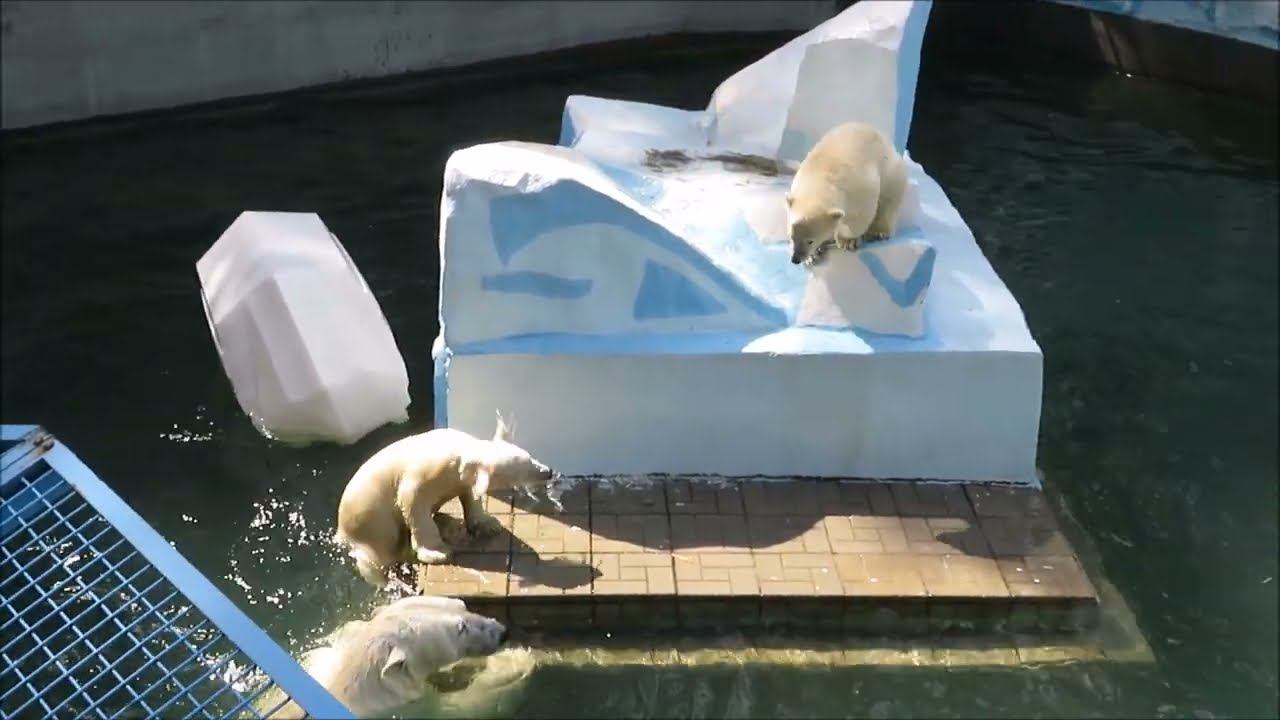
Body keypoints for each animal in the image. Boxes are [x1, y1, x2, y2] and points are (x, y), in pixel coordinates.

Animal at [335, 413, 554, 587]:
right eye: (520, 471)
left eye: (529, 457)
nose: (548, 472)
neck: (459, 454)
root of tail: (340, 530)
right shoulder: (425, 471)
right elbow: (412, 500)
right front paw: (438, 552)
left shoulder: (458, 478)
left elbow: (470, 495)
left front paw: (488, 524)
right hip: (369, 525)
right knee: (375, 558)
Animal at [784, 122, 908, 265]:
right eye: (791, 236)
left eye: (810, 241)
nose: (795, 259)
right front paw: (813, 255)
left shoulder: (860, 189)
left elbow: (860, 216)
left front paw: (847, 241)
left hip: (892, 173)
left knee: (889, 201)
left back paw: (878, 232)